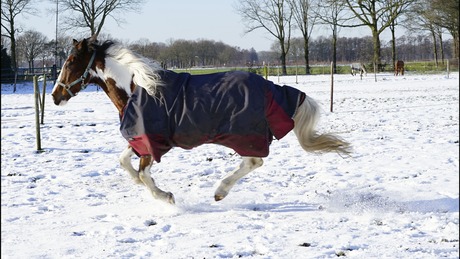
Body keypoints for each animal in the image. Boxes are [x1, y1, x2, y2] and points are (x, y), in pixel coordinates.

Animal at [51, 36, 352, 206]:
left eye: (70, 61)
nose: (55, 96)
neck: (139, 88)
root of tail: (270, 86)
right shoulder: (142, 139)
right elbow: (125, 163)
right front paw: (142, 185)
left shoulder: (152, 143)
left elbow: (144, 174)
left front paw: (167, 198)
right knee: (253, 162)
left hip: (243, 134)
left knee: (254, 161)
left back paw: (220, 192)